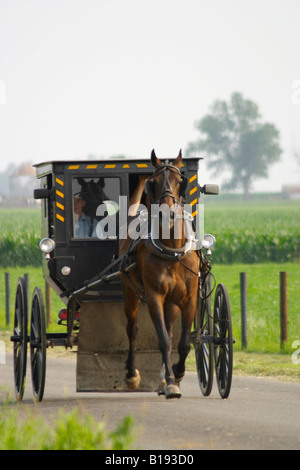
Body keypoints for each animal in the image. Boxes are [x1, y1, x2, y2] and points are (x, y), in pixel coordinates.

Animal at [119, 149, 199, 398]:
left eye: (180, 181)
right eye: (152, 183)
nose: (167, 214)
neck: (172, 251)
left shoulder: (189, 298)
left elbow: (182, 342)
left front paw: (177, 374)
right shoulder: (154, 296)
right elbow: (163, 340)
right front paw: (171, 381)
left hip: (172, 302)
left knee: (171, 329)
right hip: (130, 293)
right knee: (132, 329)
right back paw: (132, 374)